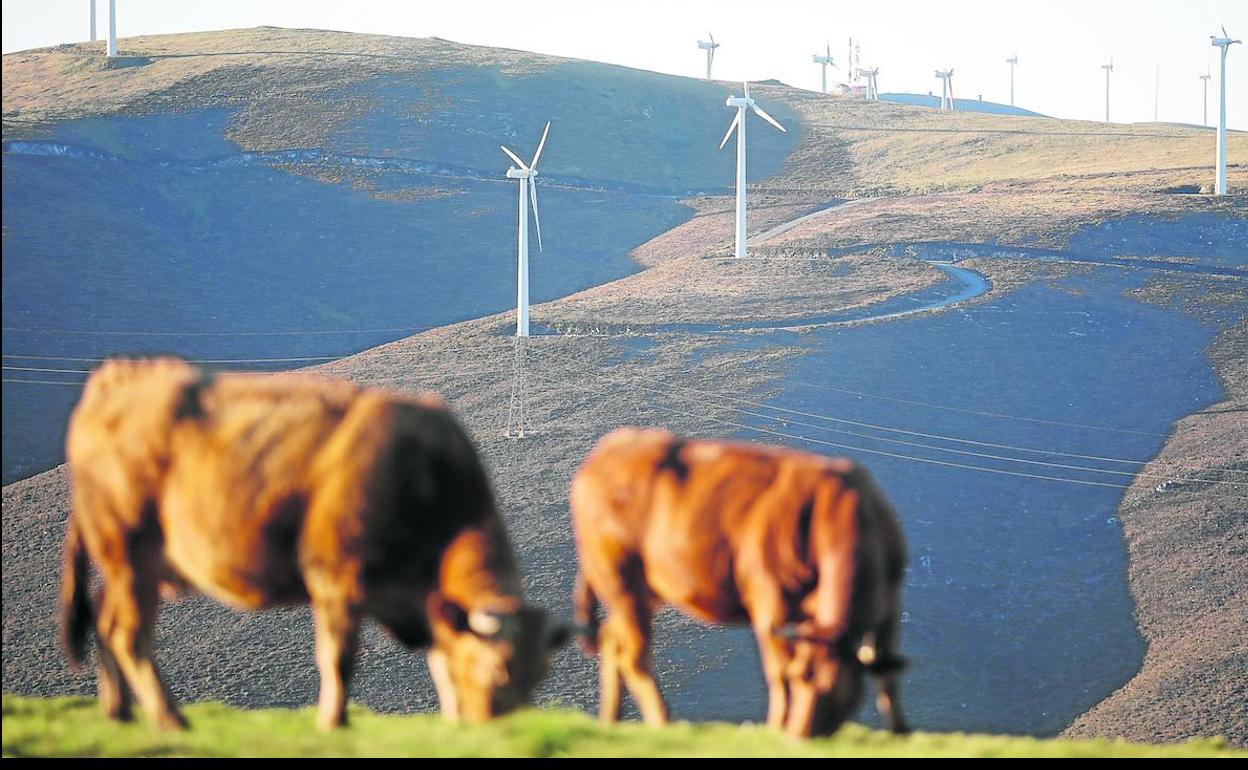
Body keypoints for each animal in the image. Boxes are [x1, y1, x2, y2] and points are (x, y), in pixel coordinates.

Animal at [59, 356, 566, 728]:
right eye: (498, 668)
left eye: (540, 676)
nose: (503, 731)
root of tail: (113, 378)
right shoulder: (335, 578)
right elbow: (338, 659)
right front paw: (332, 724)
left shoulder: (426, 605)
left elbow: (442, 663)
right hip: (128, 550)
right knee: (129, 635)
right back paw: (171, 721)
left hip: (139, 566)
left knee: (105, 620)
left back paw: (120, 714)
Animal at [571, 429, 908, 733]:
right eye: (801, 677)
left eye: (835, 691)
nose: (799, 736)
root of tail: (610, 446)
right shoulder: (772, 603)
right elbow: (778, 674)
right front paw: (775, 730)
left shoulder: (890, 601)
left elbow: (887, 677)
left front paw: (901, 733)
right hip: (621, 580)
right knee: (634, 657)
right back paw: (664, 725)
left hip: (644, 590)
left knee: (612, 639)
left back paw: (610, 722)